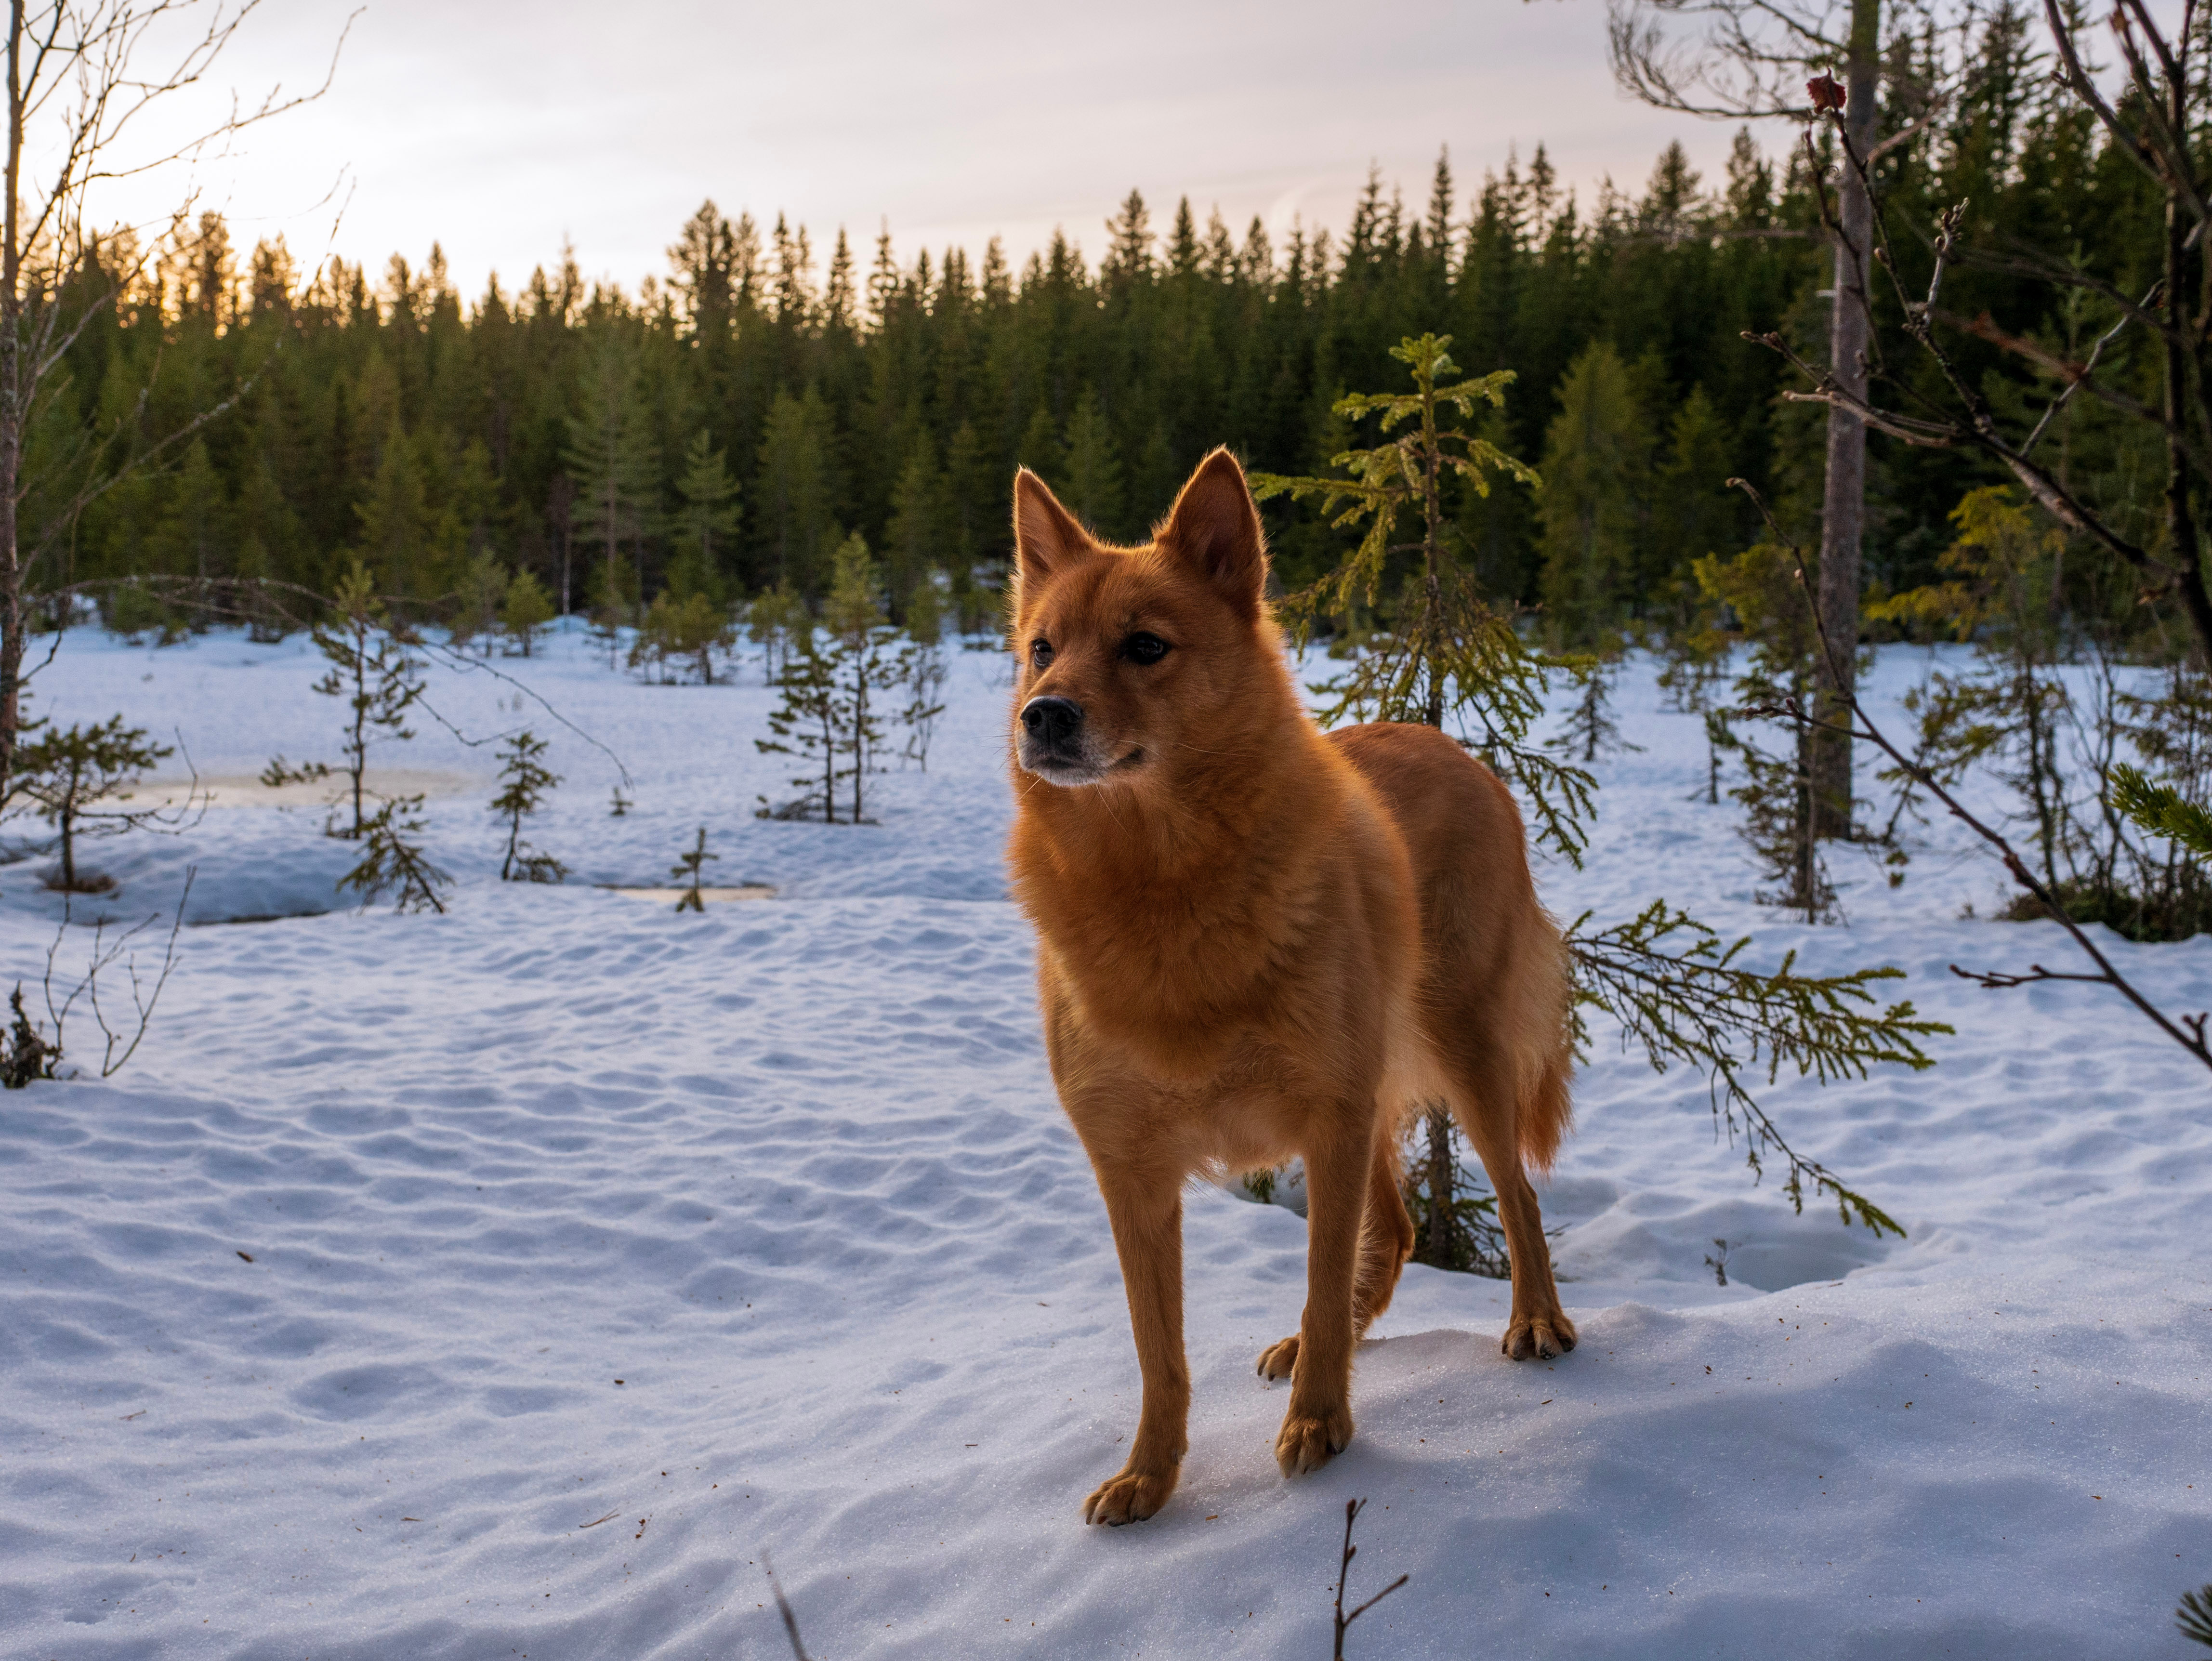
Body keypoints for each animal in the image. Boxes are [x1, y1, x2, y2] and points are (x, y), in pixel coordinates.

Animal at [1004, 449, 1575, 1530]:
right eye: (1040, 649)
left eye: (1146, 646)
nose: (1042, 715)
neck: (1162, 888)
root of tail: (1453, 748)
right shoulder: (1132, 1172)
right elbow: (1159, 1352)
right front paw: (1150, 1476)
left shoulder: (1327, 1117)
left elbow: (1317, 1272)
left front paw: (1321, 1423)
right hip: (1368, 1092)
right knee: (1395, 1228)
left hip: (1460, 1054)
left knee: (1515, 1194)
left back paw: (1536, 1321)